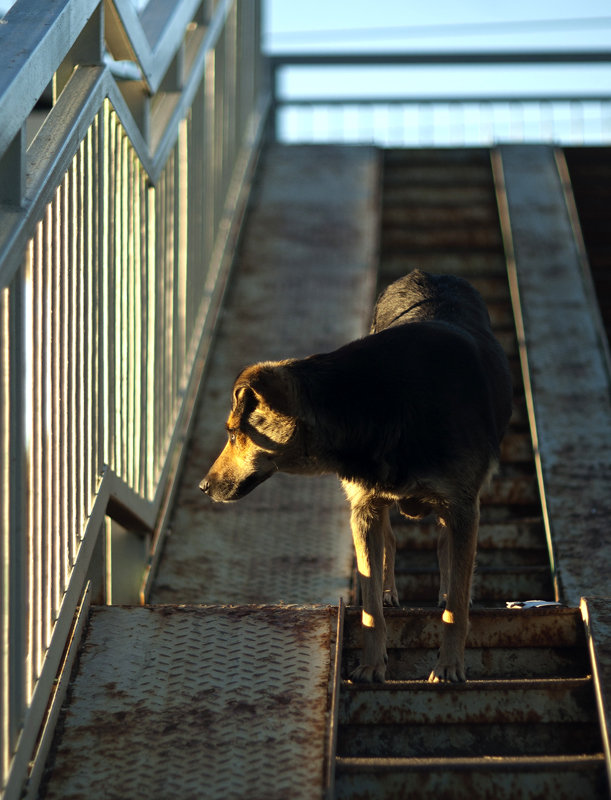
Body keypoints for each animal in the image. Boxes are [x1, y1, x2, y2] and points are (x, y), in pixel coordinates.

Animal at [201, 268, 512, 680]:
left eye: (234, 433)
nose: (203, 487)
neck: (377, 405)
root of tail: (427, 273)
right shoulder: (363, 508)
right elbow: (370, 609)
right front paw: (371, 665)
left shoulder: (461, 505)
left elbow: (455, 609)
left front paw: (448, 666)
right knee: (392, 543)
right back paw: (391, 591)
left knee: (448, 553)